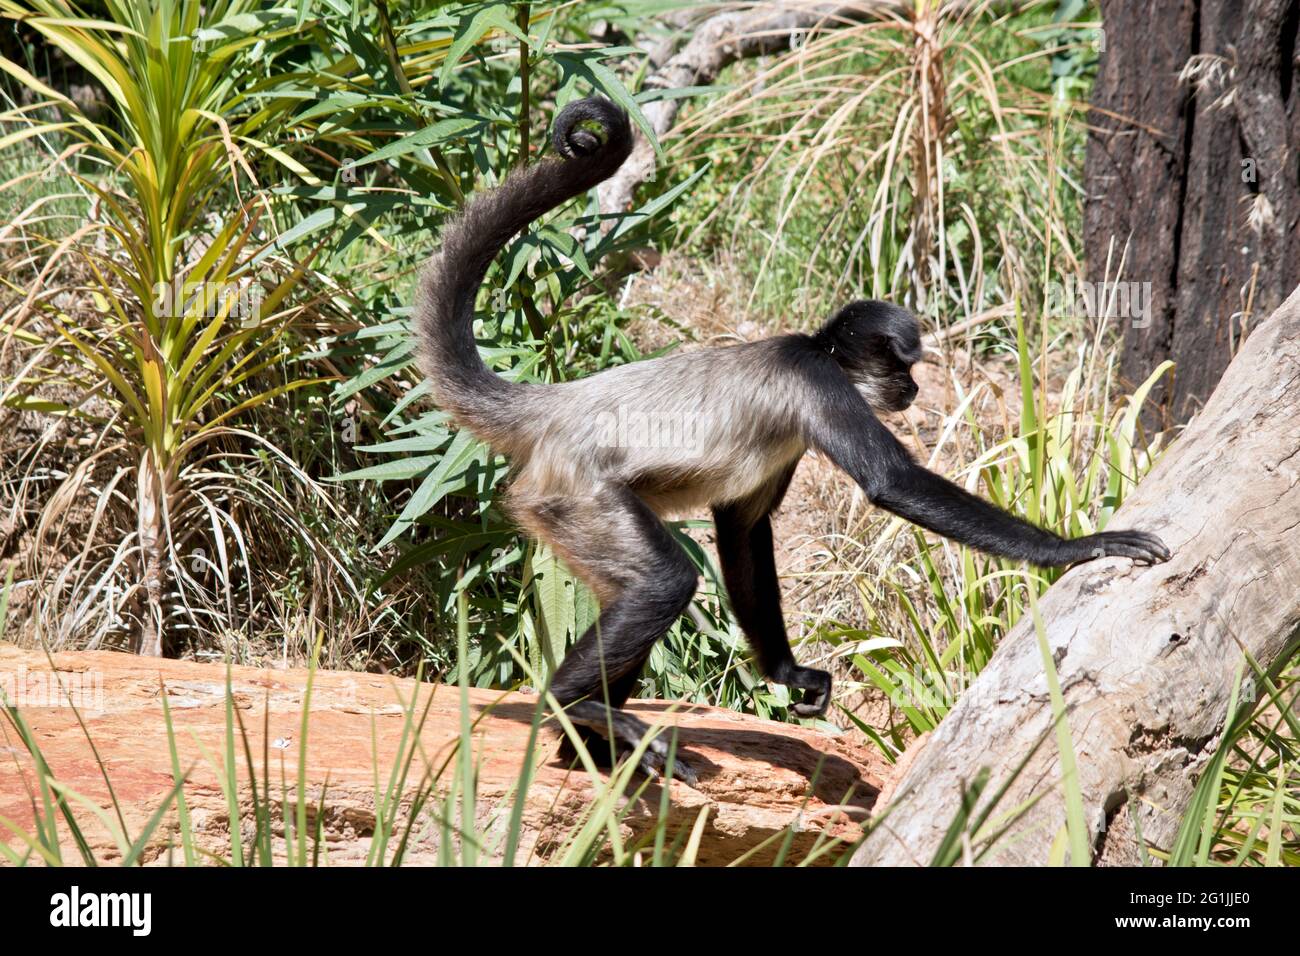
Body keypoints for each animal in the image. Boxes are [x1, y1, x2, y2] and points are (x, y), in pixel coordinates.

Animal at [410, 97, 1175, 785]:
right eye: (901, 365)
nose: (914, 390)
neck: (810, 346)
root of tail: (559, 405)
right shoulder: (819, 384)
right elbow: (892, 486)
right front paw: (1083, 546)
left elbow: (743, 524)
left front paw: (784, 672)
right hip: (574, 494)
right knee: (662, 583)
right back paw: (571, 710)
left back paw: (590, 747)